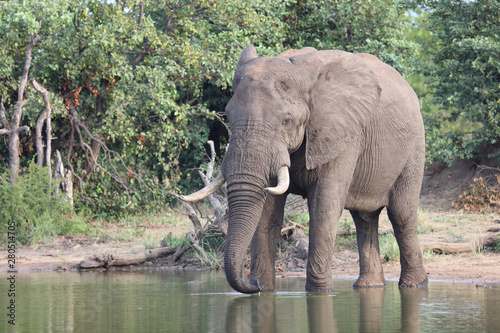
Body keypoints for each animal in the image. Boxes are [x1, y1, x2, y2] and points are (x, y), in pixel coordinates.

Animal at [182, 44, 428, 294]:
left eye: (286, 121)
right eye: (229, 116)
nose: (254, 283)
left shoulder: (340, 132)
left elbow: (324, 206)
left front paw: (319, 293)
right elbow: (267, 211)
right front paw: (266, 290)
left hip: (414, 146)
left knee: (401, 214)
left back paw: (413, 285)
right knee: (364, 218)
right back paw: (369, 286)